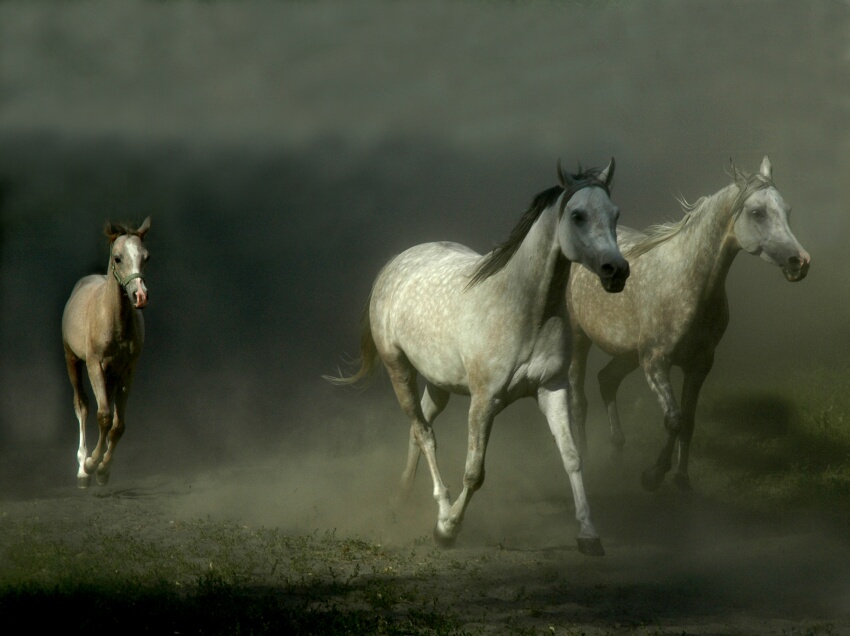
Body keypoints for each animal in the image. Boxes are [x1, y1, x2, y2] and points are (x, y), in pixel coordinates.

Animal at [62, 217, 152, 486]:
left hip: (112, 374)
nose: (140, 295)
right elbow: (102, 415)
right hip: (72, 359)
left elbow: (118, 424)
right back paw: (82, 467)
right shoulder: (94, 364)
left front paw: (103, 469)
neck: (114, 320)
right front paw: (92, 464)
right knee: (81, 404)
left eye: (146, 257)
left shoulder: (128, 369)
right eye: (118, 258)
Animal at [328, 160, 628, 556]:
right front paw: (447, 530)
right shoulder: (484, 401)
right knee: (424, 433)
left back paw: (401, 499)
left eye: (615, 214)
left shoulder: (552, 388)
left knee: (418, 429)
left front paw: (589, 535)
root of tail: (395, 264)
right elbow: (474, 472)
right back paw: (438, 510)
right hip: (399, 371)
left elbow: (571, 457)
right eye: (578, 215)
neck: (524, 309)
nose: (617, 271)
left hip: (438, 383)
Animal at [568, 155, 804, 492]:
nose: (800, 262)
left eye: (787, 210)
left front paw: (682, 480)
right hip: (579, 338)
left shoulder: (699, 363)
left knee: (607, 380)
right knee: (578, 398)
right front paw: (654, 475)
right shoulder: (655, 362)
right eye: (757, 212)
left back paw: (617, 453)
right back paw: (586, 461)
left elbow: (689, 421)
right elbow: (674, 419)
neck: (687, 281)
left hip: (628, 353)